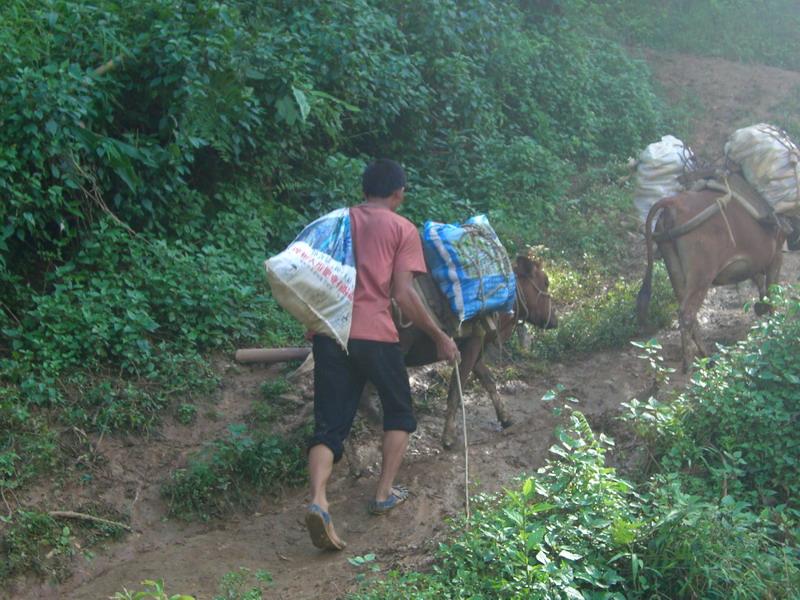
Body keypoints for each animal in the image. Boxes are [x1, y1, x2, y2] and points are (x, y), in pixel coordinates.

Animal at [398, 255, 556, 448]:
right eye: (546, 281)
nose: (555, 320)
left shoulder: (477, 348)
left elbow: (489, 380)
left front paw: (506, 418)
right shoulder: (471, 345)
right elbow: (456, 389)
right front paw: (448, 436)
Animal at [636, 190, 788, 372]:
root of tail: (673, 203)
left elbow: (761, 285)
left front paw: (761, 308)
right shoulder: (776, 256)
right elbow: (772, 294)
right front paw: (774, 329)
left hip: (675, 269)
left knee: (688, 313)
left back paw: (706, 357)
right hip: (702, 274)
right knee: (687, 314)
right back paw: (689, 365)